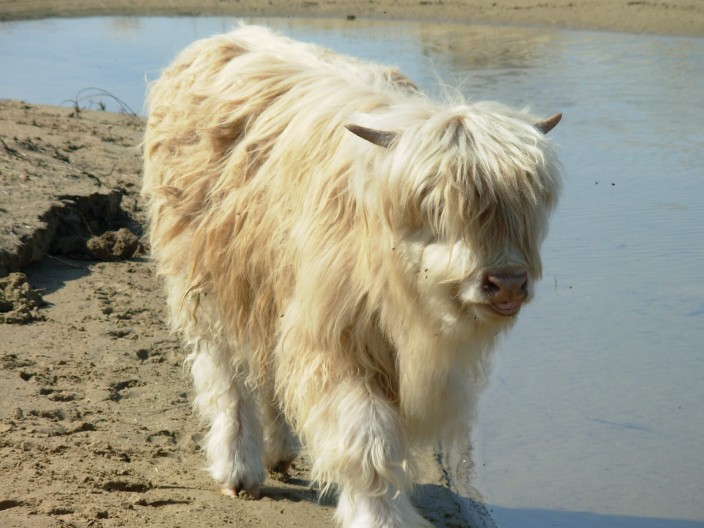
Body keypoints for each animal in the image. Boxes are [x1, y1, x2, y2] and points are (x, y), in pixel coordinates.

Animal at [142, 25, 562, 528]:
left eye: (527, 206)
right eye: (435, 203)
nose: (507, 283)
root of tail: (229, 35)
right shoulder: (334, 338)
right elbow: (366, 438)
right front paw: (379, 517)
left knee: (267, 366)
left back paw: (279, 450)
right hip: (209, 278)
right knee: (228, 376)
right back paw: (239, 467)